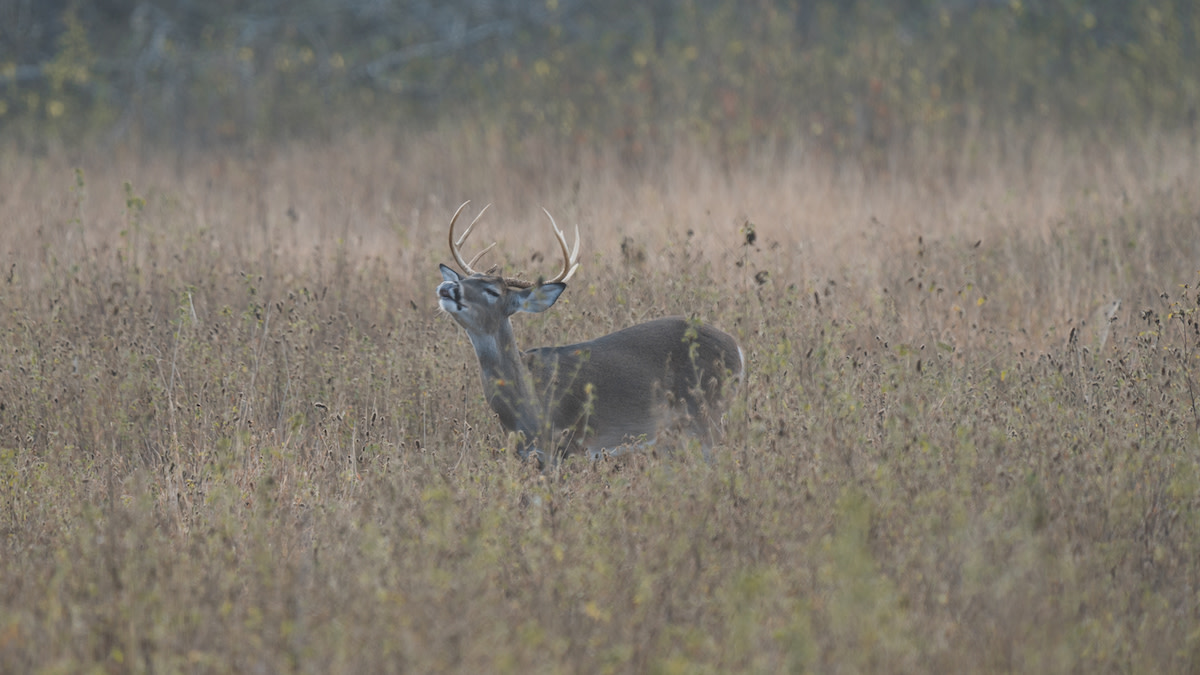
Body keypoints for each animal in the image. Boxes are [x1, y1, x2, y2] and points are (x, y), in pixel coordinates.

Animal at [436, 196, 744, 466]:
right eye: (467, 280)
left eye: (492, 291)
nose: (448, 287)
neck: (526, 401)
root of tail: (738, 349)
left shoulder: (568, 444)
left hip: (708, 415)